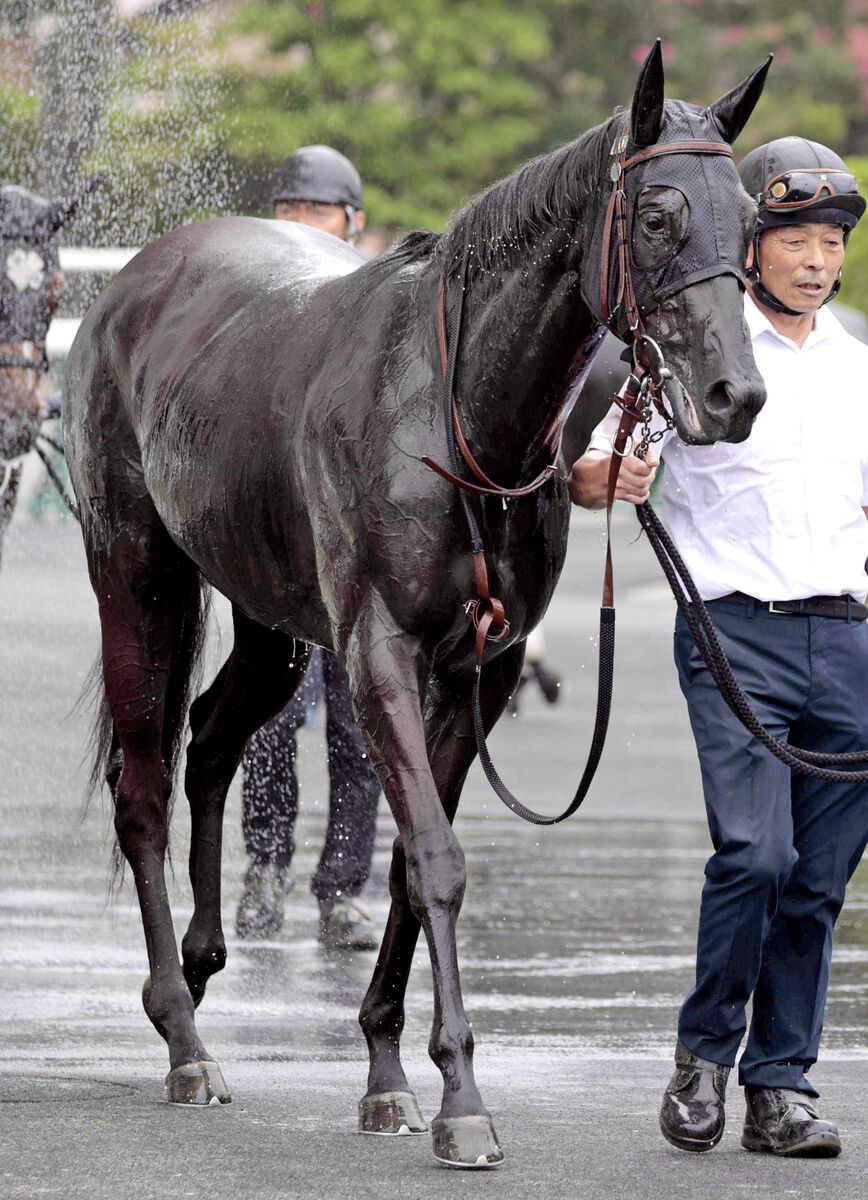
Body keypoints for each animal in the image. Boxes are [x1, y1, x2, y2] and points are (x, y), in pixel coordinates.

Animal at [66, 51, 768, 1166]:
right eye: (657, 215)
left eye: (747, 217)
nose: (732, 396)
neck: (451, 409)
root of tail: (135, 280)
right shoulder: (379, 653)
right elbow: (435, 859)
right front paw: (461, 1102)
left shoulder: (480, 667)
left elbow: (403, 865)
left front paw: (390, 1075)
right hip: (137, 575)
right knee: (142, 788)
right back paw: (182, 1035)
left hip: (270, 614)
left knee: (213, 741)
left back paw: (207, 956)